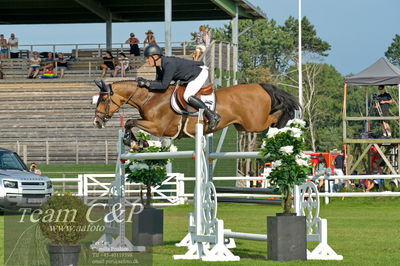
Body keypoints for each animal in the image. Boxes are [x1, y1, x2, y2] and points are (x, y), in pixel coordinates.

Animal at [93, 80, 300, 139]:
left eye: (103, 98)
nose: (96, 121)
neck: (150, 98)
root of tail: (260, 86)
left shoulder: (158, 128)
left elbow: (130, 121)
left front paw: (133, 141)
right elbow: (130, 122)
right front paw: (133, 142)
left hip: (254, 123)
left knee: (275, 117)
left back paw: (285, 126)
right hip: (242, 125)